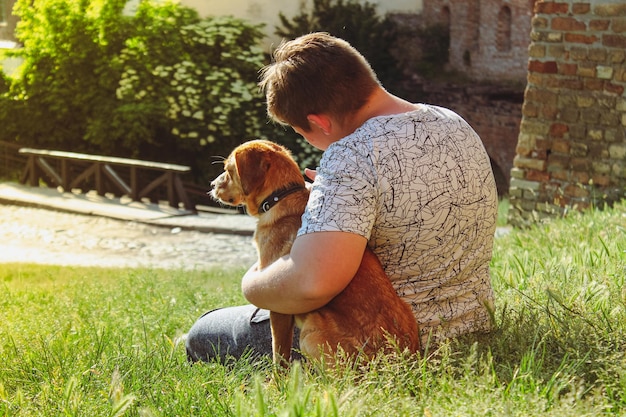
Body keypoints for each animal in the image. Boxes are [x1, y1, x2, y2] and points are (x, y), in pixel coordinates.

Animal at [211, 140, 420, 364]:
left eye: (228, 170)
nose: (212, 185)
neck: (280, 197)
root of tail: (401, 361)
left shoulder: (277, 304)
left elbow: (279, 353)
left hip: (311, 329)